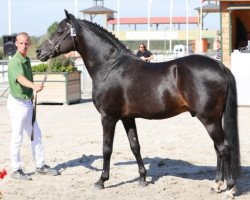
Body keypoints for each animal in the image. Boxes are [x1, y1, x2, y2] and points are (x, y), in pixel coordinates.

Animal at [36, 10, 240, 198]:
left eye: (60, 31)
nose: (39, 52)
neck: (109, 66)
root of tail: (220, 66)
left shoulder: (108, 118)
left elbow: (106, 148)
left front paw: (101, 180)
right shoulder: (127, 118)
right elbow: (135, 146)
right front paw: (143, 178)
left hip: (209, 120)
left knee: (224, 148)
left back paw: (230, 188)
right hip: (213, 119)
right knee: (217, 149)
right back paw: (216, 185)